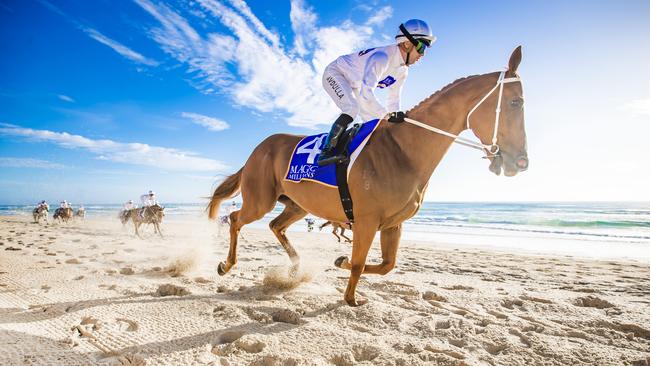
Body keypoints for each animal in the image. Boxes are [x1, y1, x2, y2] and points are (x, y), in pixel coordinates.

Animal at [208, 47, 528, 308]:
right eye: (516, 103)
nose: (521, 162)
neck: (403, 150)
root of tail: (258, 148)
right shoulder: (366, 220)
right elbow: (360, 263)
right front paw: (350, 296)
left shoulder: (393, 224)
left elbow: (387, 264)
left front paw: (341, 262)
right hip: (260, 199)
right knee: (235, 219)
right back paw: (227, 264)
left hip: (298, 205)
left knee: (276, 226)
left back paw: (296, 268)